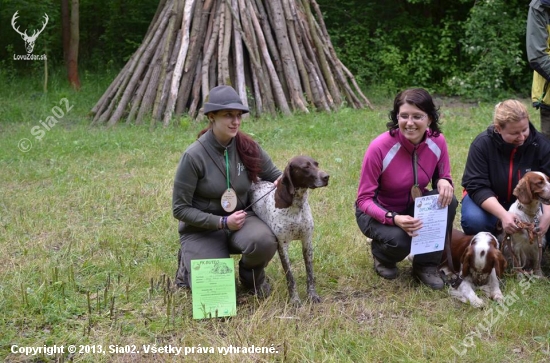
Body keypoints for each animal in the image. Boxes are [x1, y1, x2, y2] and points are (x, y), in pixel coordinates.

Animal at [251, 155, 332, 306]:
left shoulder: (307, 242)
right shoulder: (282, 246)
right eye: (305, 167)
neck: (296, 205)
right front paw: (294, 299)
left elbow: (310, 273)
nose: (326, 177)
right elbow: (290, 276)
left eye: (316, 164)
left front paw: (312, 295)